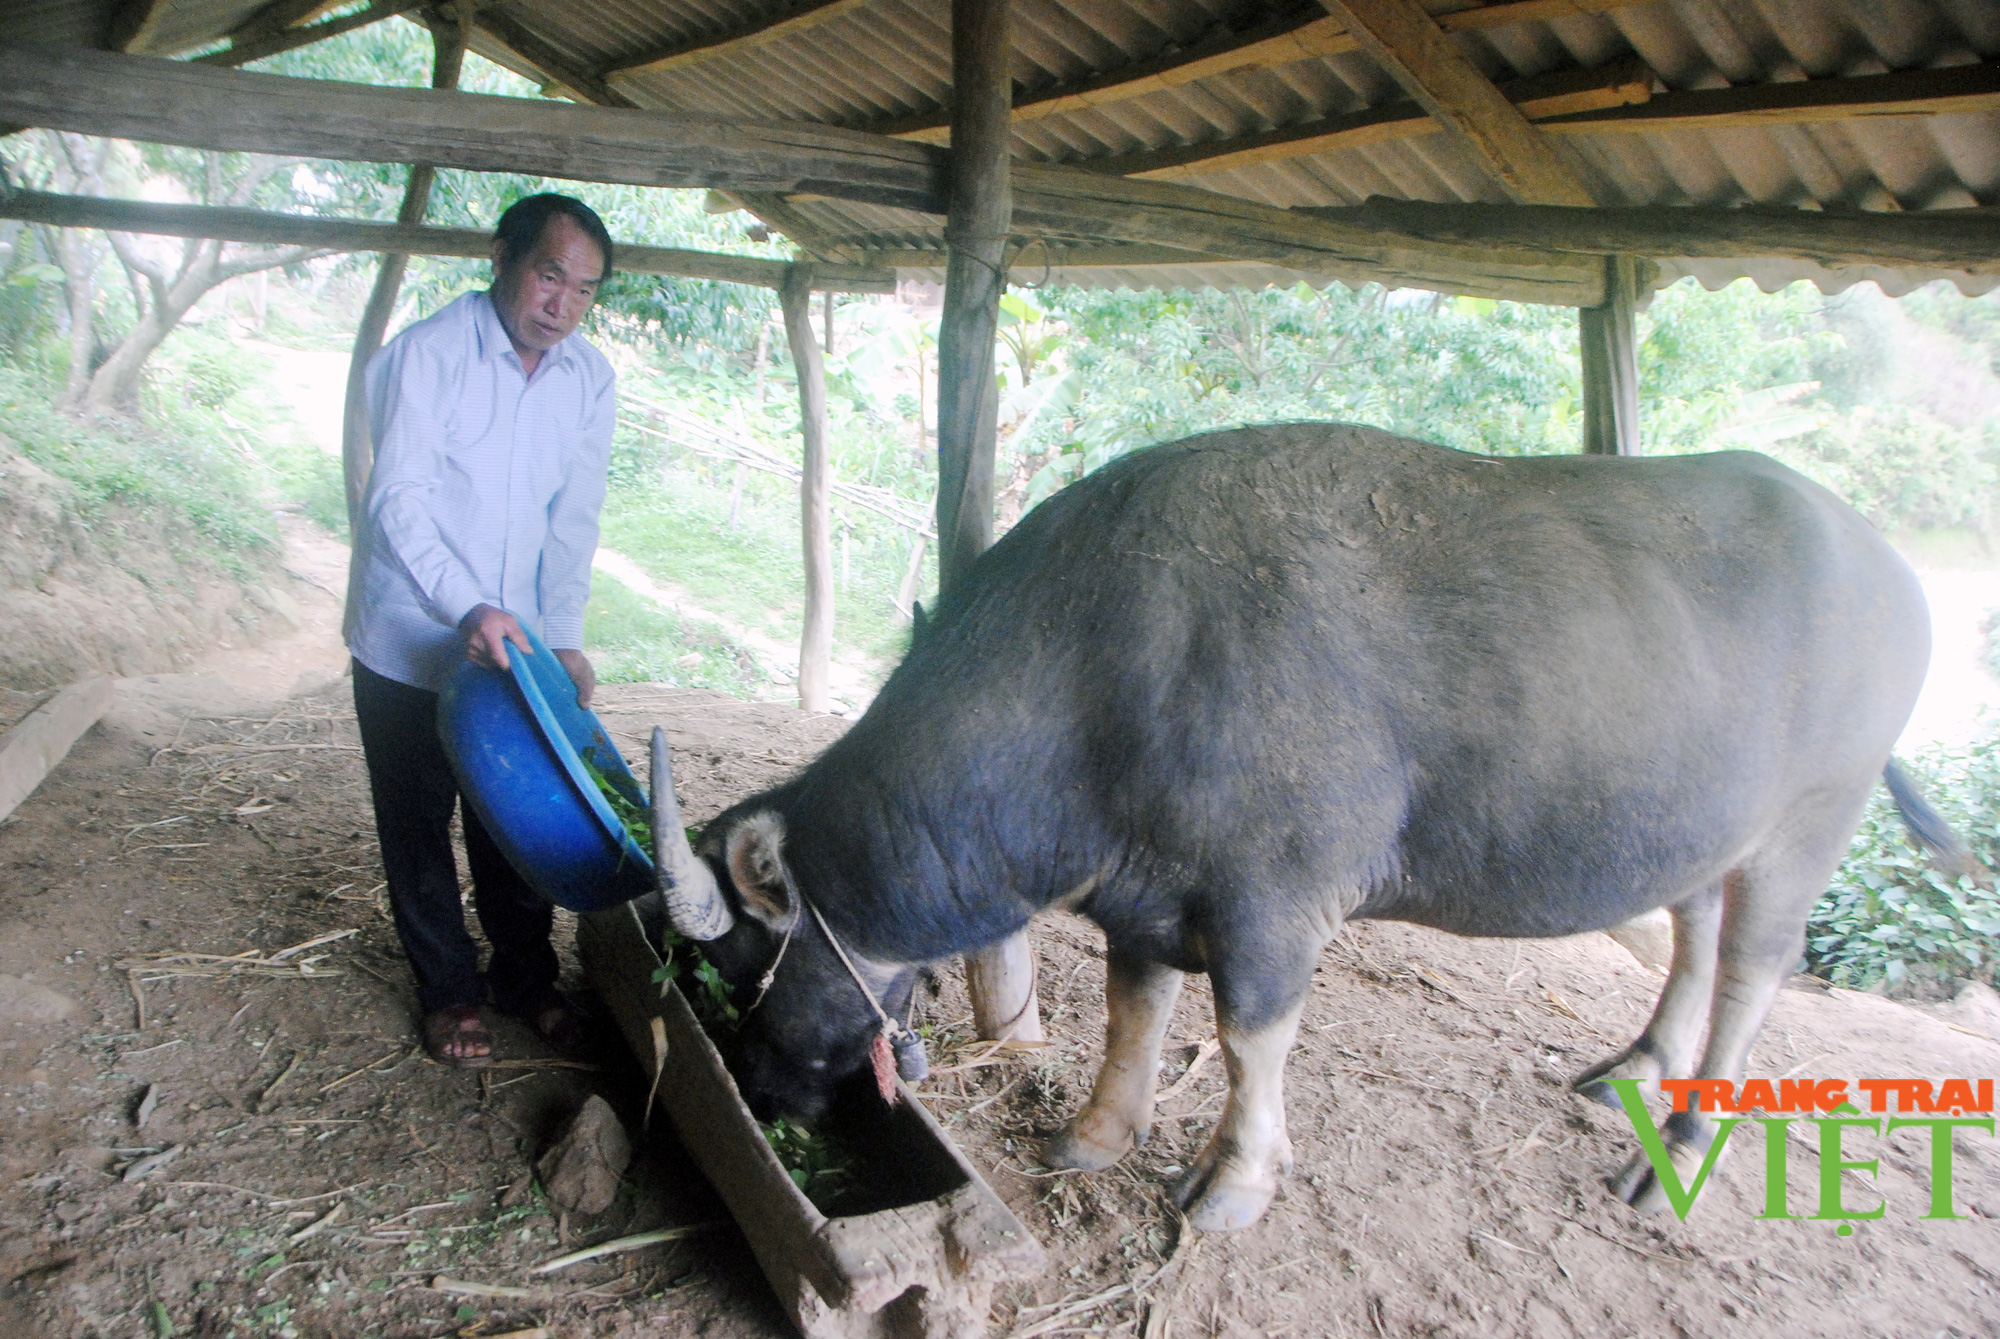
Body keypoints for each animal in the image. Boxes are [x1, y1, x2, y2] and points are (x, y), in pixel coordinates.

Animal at [652, 425, 1952, 1231]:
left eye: (737, 958)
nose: (755, 1085)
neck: (1110, 663)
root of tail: (1885, 567)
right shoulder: (1144, 893)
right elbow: (1133, 1012)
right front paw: (1095, 1133)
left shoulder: (1268, 907)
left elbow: (1246, 1040)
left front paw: (1232, 1181)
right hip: (1695, 826)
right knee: (1690, 929)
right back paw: (1632, 1065)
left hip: (1812, 822)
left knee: (1752, 966)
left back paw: (1677, 1141)